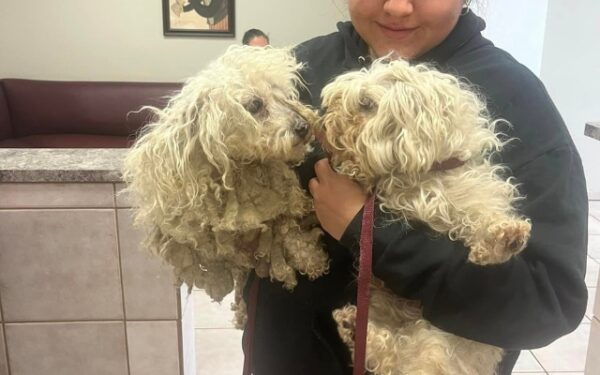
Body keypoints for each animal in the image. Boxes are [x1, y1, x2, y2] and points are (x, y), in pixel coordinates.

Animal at [122, 47, 328, 328]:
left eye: (283, 97)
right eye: (255, 105)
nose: (303, 126)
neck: (240, 170)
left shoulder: (279, 207)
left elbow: (288, 231)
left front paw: (311, 259)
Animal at [322, 59, 532, 375]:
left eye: (366, 104)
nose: (325, 121)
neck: (429, 177)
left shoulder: (472, 198)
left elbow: (481, 219)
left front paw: (506, 237)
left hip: (438, 340)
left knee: (397, 358)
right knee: (389, 356)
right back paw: (353, 327)